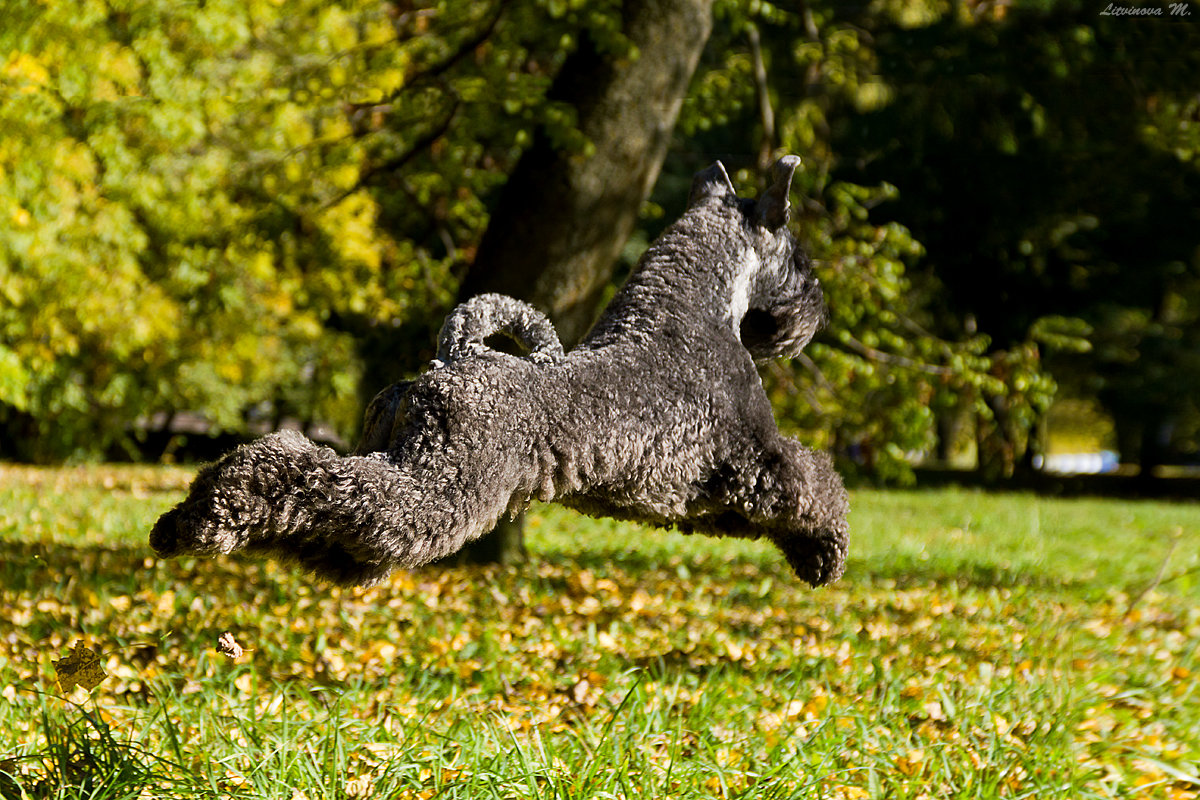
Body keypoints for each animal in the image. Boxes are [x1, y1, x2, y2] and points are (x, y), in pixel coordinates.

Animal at [150, 154, 849, 587]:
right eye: (801, 257)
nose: (813, 310)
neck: (692, 313)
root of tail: (454, 358)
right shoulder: (754, 461)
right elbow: (815, 481)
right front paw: (826, 551)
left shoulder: (702, 502)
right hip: (434, 491)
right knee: (305, 474)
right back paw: (201, 520)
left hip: (392, 459)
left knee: (325, 493)